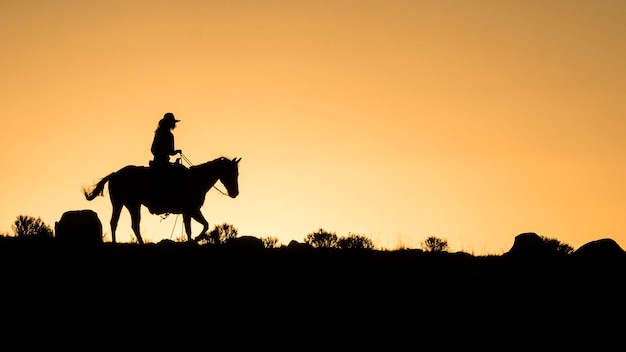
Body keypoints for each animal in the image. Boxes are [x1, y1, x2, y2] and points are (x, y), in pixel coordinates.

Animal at [83, 157, 239, 245]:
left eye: (237, 173)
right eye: (231, 172)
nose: (235, 193)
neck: (196, 180)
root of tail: (115, 174)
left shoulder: (190, 211)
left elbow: (202, 225)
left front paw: (193, 239)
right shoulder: (191, 210)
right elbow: (194, 228)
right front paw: (194, 239)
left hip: (122, 204)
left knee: (116, 222)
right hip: (131, 204)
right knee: (130, 224)